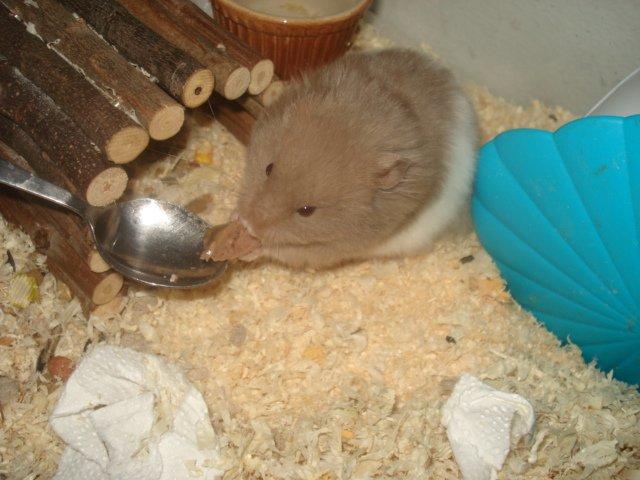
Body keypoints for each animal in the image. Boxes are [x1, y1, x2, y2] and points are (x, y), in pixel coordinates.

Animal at [236, 48, 479, 269]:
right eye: (268, 168)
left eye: (307, 211)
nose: (250, 224)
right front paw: (236, 218)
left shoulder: (335, 247)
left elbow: (286, 251)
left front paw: (251, 244)